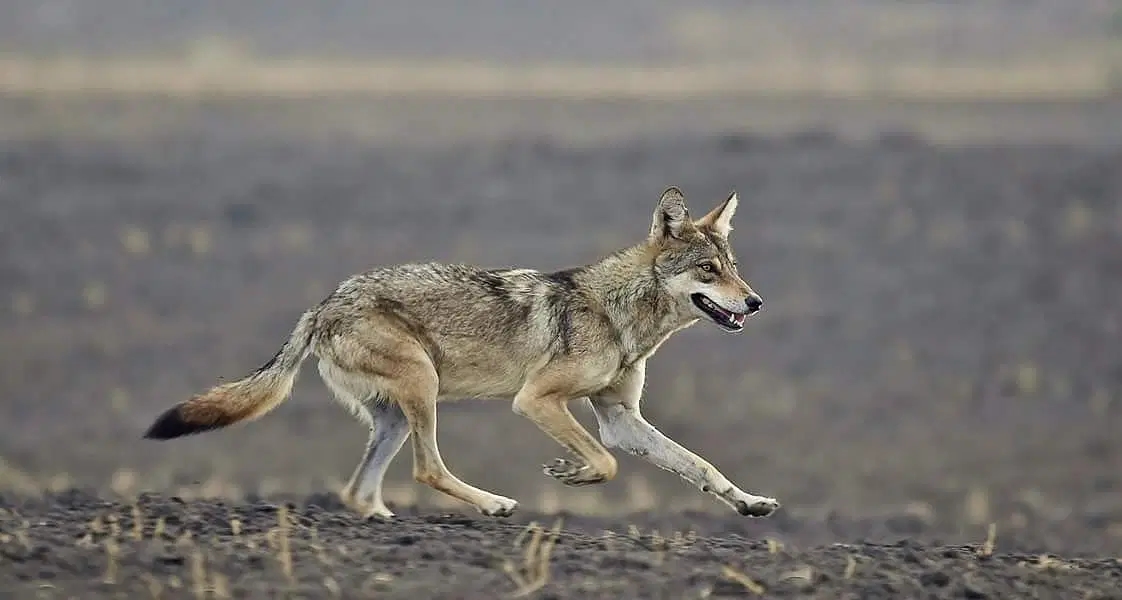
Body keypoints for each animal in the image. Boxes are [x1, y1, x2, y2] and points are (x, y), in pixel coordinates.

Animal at [144, 187, 780, 519]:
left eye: (733, 267)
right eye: (708, 270)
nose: (755, 302)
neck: (619, 316)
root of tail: (323, 305)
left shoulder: (620, 417)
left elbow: (699, 465)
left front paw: (748, 503)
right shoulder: (538, 401)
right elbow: (606, 463)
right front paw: (568, 473)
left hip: (395, 416)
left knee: (360, 489)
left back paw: (383, 521)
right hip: (423, 388)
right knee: (426, 469)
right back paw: (494, 504)